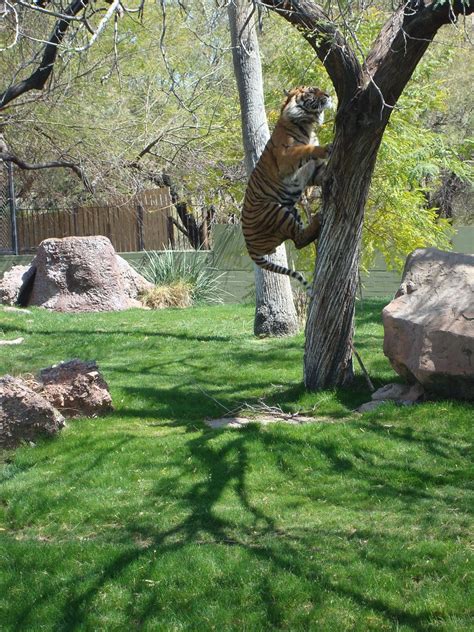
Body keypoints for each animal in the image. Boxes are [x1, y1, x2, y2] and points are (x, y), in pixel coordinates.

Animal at [241, 86, 334, 294]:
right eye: (313, 91)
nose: (328, 95)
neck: (308, 124)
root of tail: (249, 246)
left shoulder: (313, 171)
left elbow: (321, 172)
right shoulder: (287, 157)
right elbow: (306, 149)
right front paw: (326, 148)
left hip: (291, 209)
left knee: (297, 240)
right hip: (274, 210)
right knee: (299, 240)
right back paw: (318, 218)